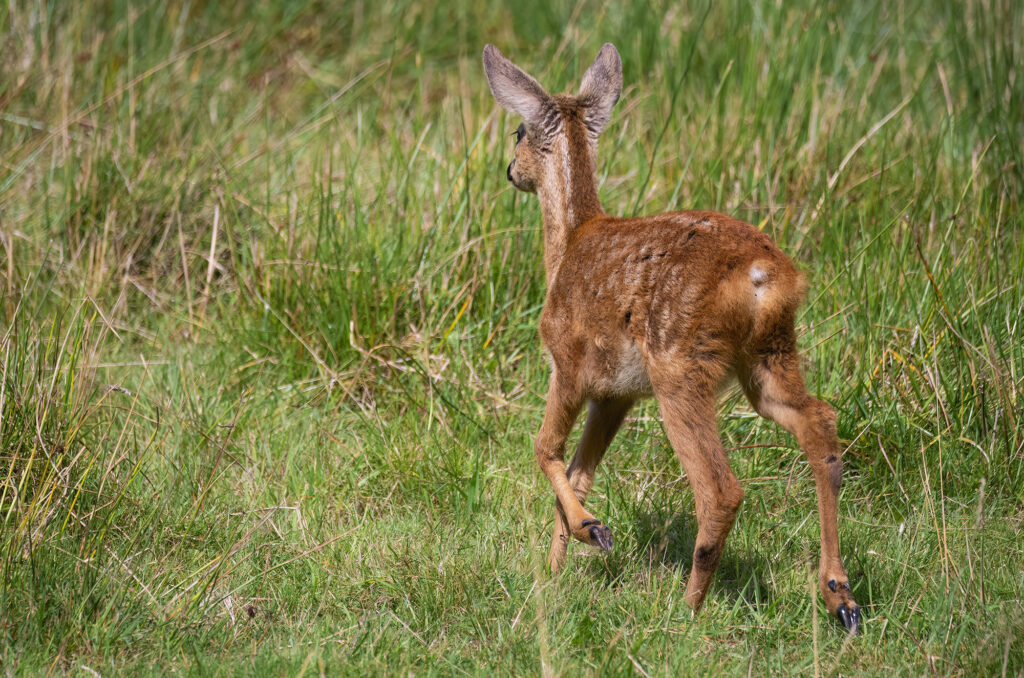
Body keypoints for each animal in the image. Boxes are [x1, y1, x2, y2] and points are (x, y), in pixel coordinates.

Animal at [483, 42, 860, 634]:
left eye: (518, 131)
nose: (509, 170)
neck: (568, 244)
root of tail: (766, 279)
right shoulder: (615, 395)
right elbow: (579, 473)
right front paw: (557, 568)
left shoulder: (568, 364)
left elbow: (544, 449)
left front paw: (591, 533)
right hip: (769, 357)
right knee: (819, 422)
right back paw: (840, 597)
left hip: (680, 363)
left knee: (721, 487)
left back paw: (686, 610)